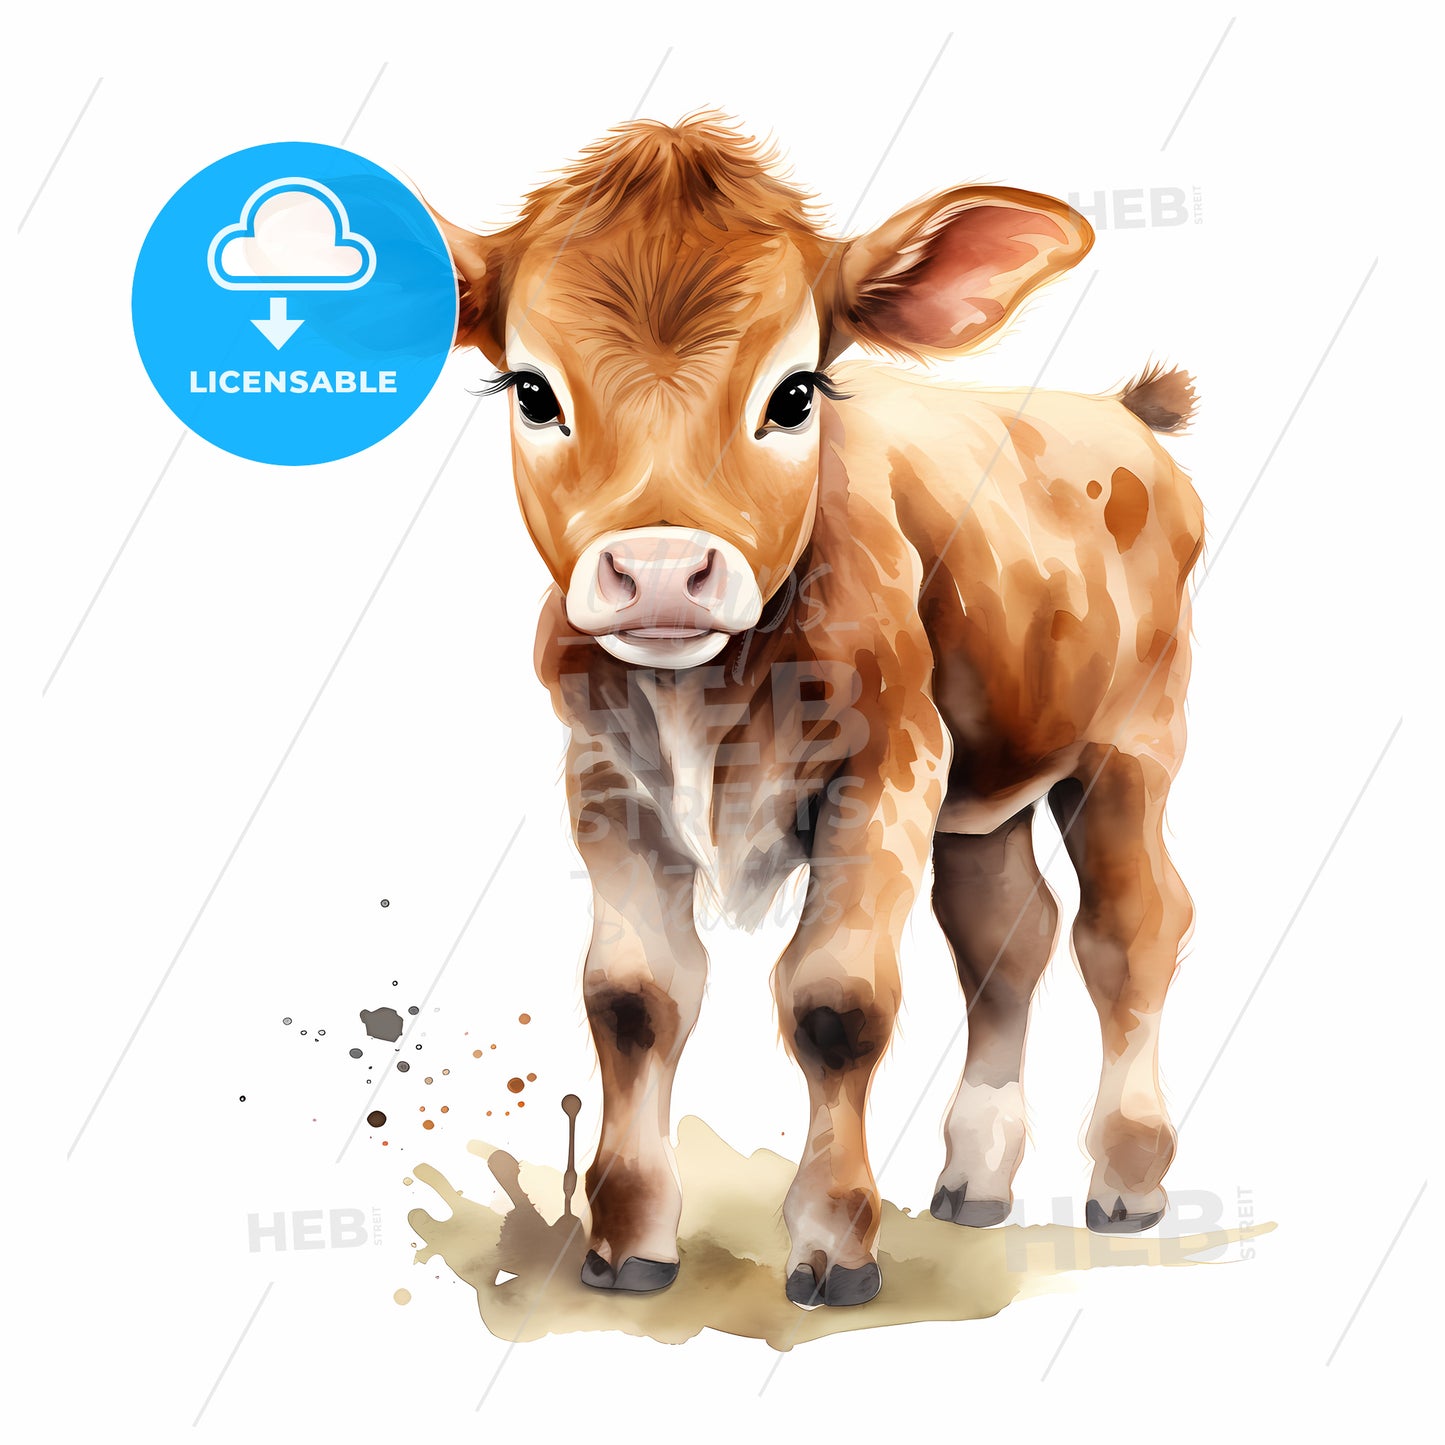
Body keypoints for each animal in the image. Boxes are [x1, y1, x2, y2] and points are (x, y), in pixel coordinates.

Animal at [431, 112, 1203, 1309]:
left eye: (793, 394)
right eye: (531, 391)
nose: (661, 571)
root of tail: (1116, 410)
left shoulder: (885, 764)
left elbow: (837, 1001)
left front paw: (834, 1241)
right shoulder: (603, 779)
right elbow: (631, 997)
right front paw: (627, 1238)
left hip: (1128, 747)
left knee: (1129, 929)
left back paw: (1126, 1175)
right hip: (982, 789)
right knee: (1006, 935)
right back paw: (975, 1179)